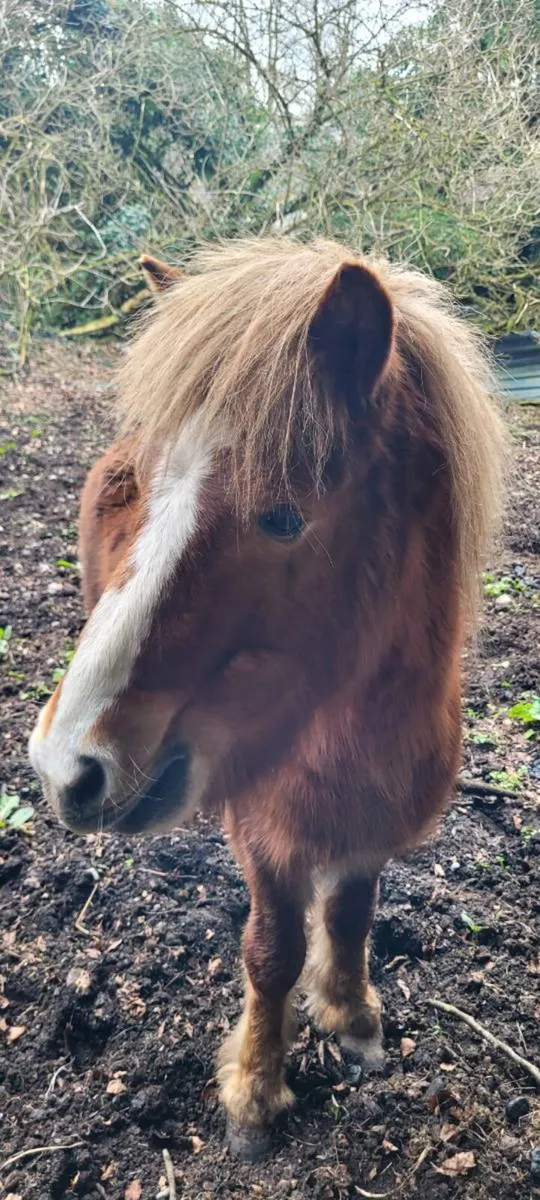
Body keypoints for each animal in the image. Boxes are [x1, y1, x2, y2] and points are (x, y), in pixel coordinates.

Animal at [29, 238, 506, 1160]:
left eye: (285, 518)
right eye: (142, 488)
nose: (66, 766)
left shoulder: (371, 827)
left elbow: (351, 917)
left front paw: (351, 1017)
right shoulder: (262, 834)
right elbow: (272, 951)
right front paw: (255, 1088)